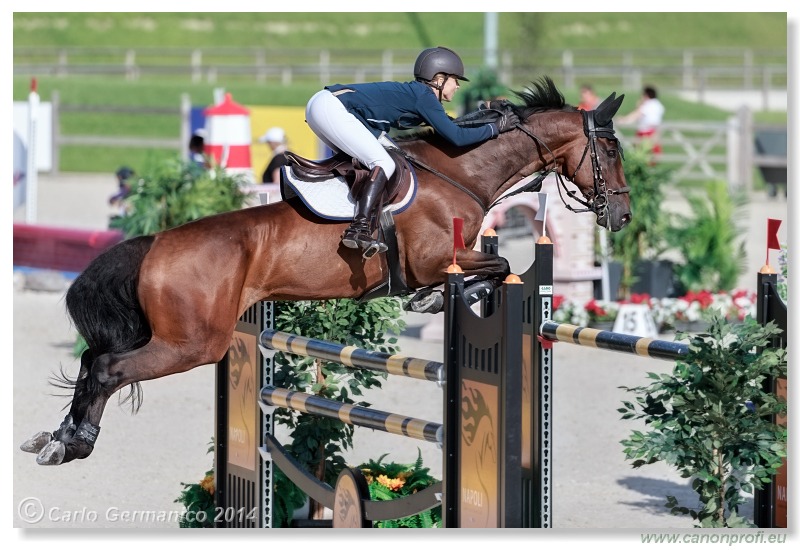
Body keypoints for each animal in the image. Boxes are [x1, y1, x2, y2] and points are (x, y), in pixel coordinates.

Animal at [20, 76, 632, 466]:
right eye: (613, 152)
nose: (622, 216)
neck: (462, 173)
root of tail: (155, 243)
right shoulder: (436, 260)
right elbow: (498, 264)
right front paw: (437, 299)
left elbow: (499, 265)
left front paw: (439, 299)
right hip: (193, 342)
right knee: (107, 369)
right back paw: (72, 445)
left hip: (177, 336)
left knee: (91, 361)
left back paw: (57, 437)